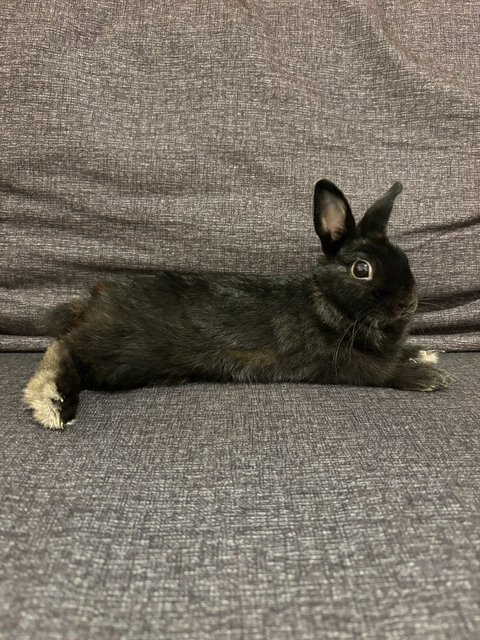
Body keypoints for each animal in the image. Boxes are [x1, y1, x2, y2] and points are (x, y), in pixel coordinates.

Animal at [22, 180, 450, 430]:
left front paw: (424, 353)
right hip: (124, 355)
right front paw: (426, 377)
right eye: (362, 269)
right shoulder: (335, 361)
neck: (328, 303)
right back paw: (53, 402)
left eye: (403, 257)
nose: (408, 303)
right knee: (65, 349)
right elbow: (379, 371)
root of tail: (95, 299)